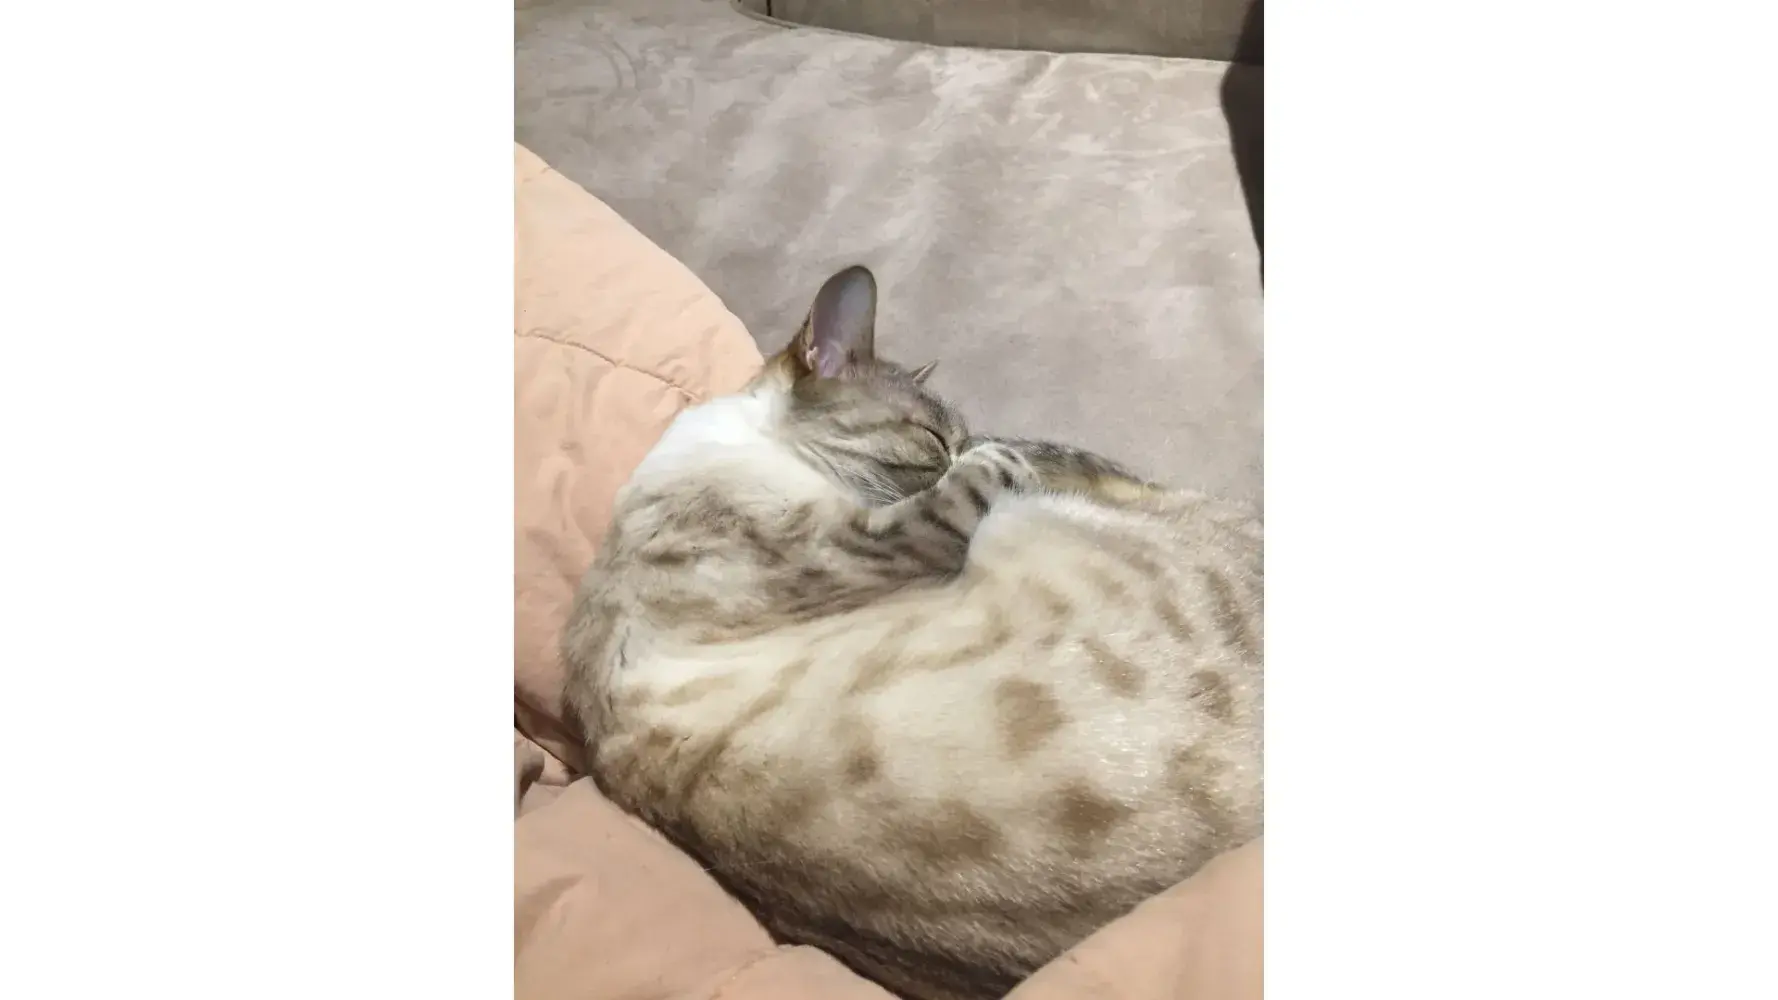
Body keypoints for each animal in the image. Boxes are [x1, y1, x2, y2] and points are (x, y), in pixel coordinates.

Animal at [562, 265, 1262, 1000]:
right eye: (931, 439)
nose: (961, 443)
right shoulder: (868, 540)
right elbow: (992, 471)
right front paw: (1002, 450)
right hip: (1036, 519)